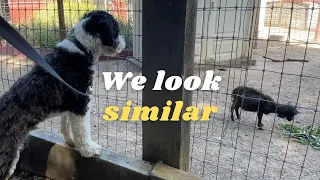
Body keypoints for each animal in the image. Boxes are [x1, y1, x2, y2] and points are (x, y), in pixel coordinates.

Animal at [0, 10, 125, 179]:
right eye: (116, 28)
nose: (123, 43)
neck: (81, 48)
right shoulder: (81, 103)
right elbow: (82, 130)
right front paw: (89, 149)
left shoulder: (69, 108)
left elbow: (66, 125)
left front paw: (70, 141)